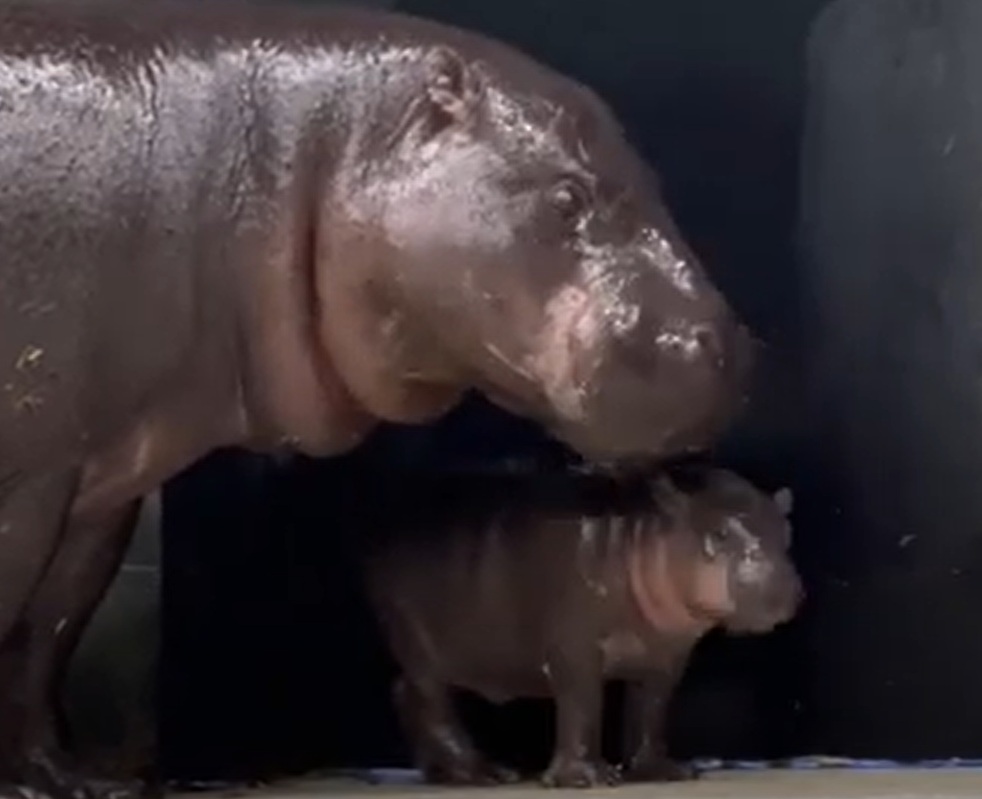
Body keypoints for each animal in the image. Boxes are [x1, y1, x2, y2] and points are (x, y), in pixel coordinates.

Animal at [0, 1, 751, 796]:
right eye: (566, 195)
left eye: (652, 176)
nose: (724, 345)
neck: (315, 143)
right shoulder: (30, 477)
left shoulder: (106, 481)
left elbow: (47, 635)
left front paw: (72, 778)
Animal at [363, 468, 801, 788]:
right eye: (719, 534)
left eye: (786, 530)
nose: (785, 588)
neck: (647, 534)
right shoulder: (575, 648)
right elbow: (583, 704)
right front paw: (588, 779)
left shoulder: (665, 657)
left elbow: (651, 710)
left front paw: (666, 772)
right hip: (420, 644)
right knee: (434, 703)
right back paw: (486, 775)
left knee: (404, 693)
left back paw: (441, 774)